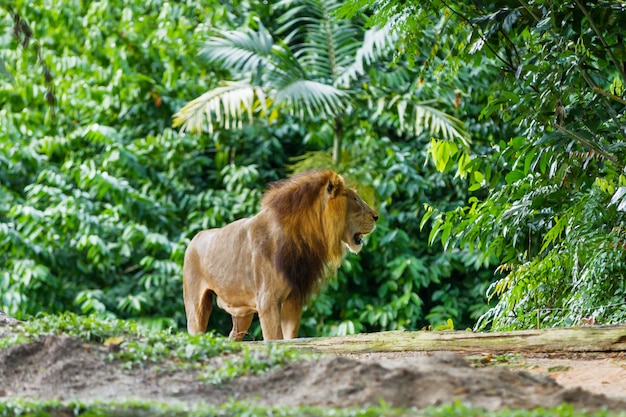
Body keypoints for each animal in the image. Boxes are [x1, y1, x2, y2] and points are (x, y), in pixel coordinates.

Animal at [180, 167, 376, 340]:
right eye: (355, 198)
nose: (376, 216)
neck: (303, 237)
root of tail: (195, 237)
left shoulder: (293, 301)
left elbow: (289, 339)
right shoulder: (268, 302)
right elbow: (275, 339)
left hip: (242, 314)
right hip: (196, 307)